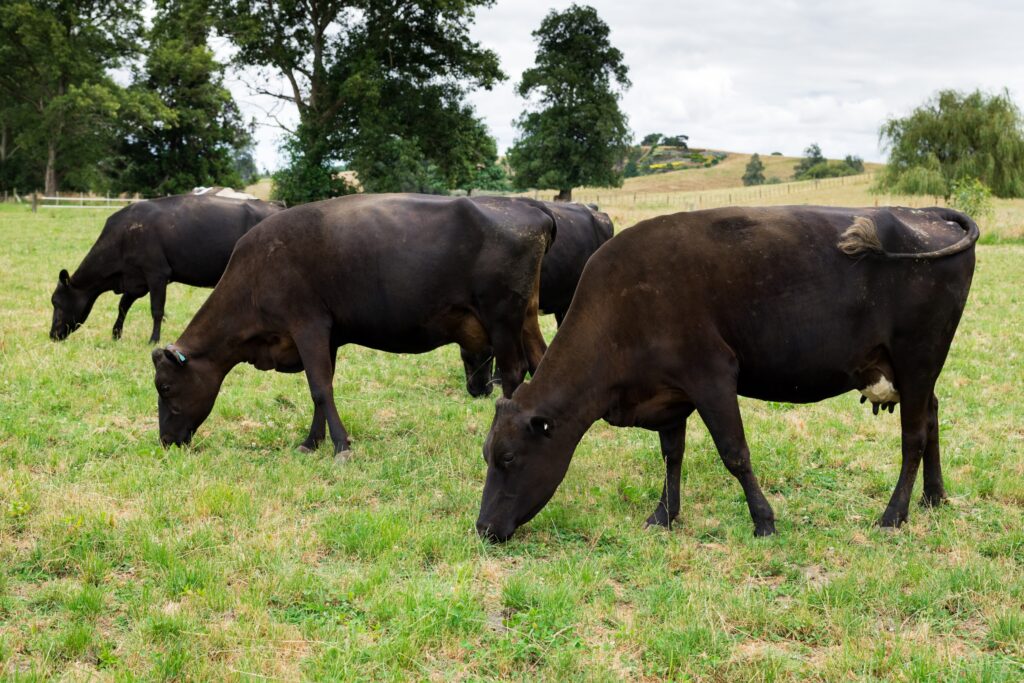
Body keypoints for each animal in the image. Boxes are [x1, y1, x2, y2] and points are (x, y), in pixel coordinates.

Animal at [49, 189, 282, 344]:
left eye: (57, 303)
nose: (52, 335)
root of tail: (275, 206)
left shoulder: (157, 274)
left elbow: (157, 309)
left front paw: (153, 339)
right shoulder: (136, 280)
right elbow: (123, 305)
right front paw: (116, 334)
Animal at [149, 192, 557, 458]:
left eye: (165, 387)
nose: (166, 440)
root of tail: (527, 205)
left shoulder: (308, 325)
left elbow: (319, 388)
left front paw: (341, 446)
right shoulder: (325, 336)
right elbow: (321, 386)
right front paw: (311, 442)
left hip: (502, 318)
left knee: (514, 371)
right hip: (526, 317)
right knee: (541, 360)